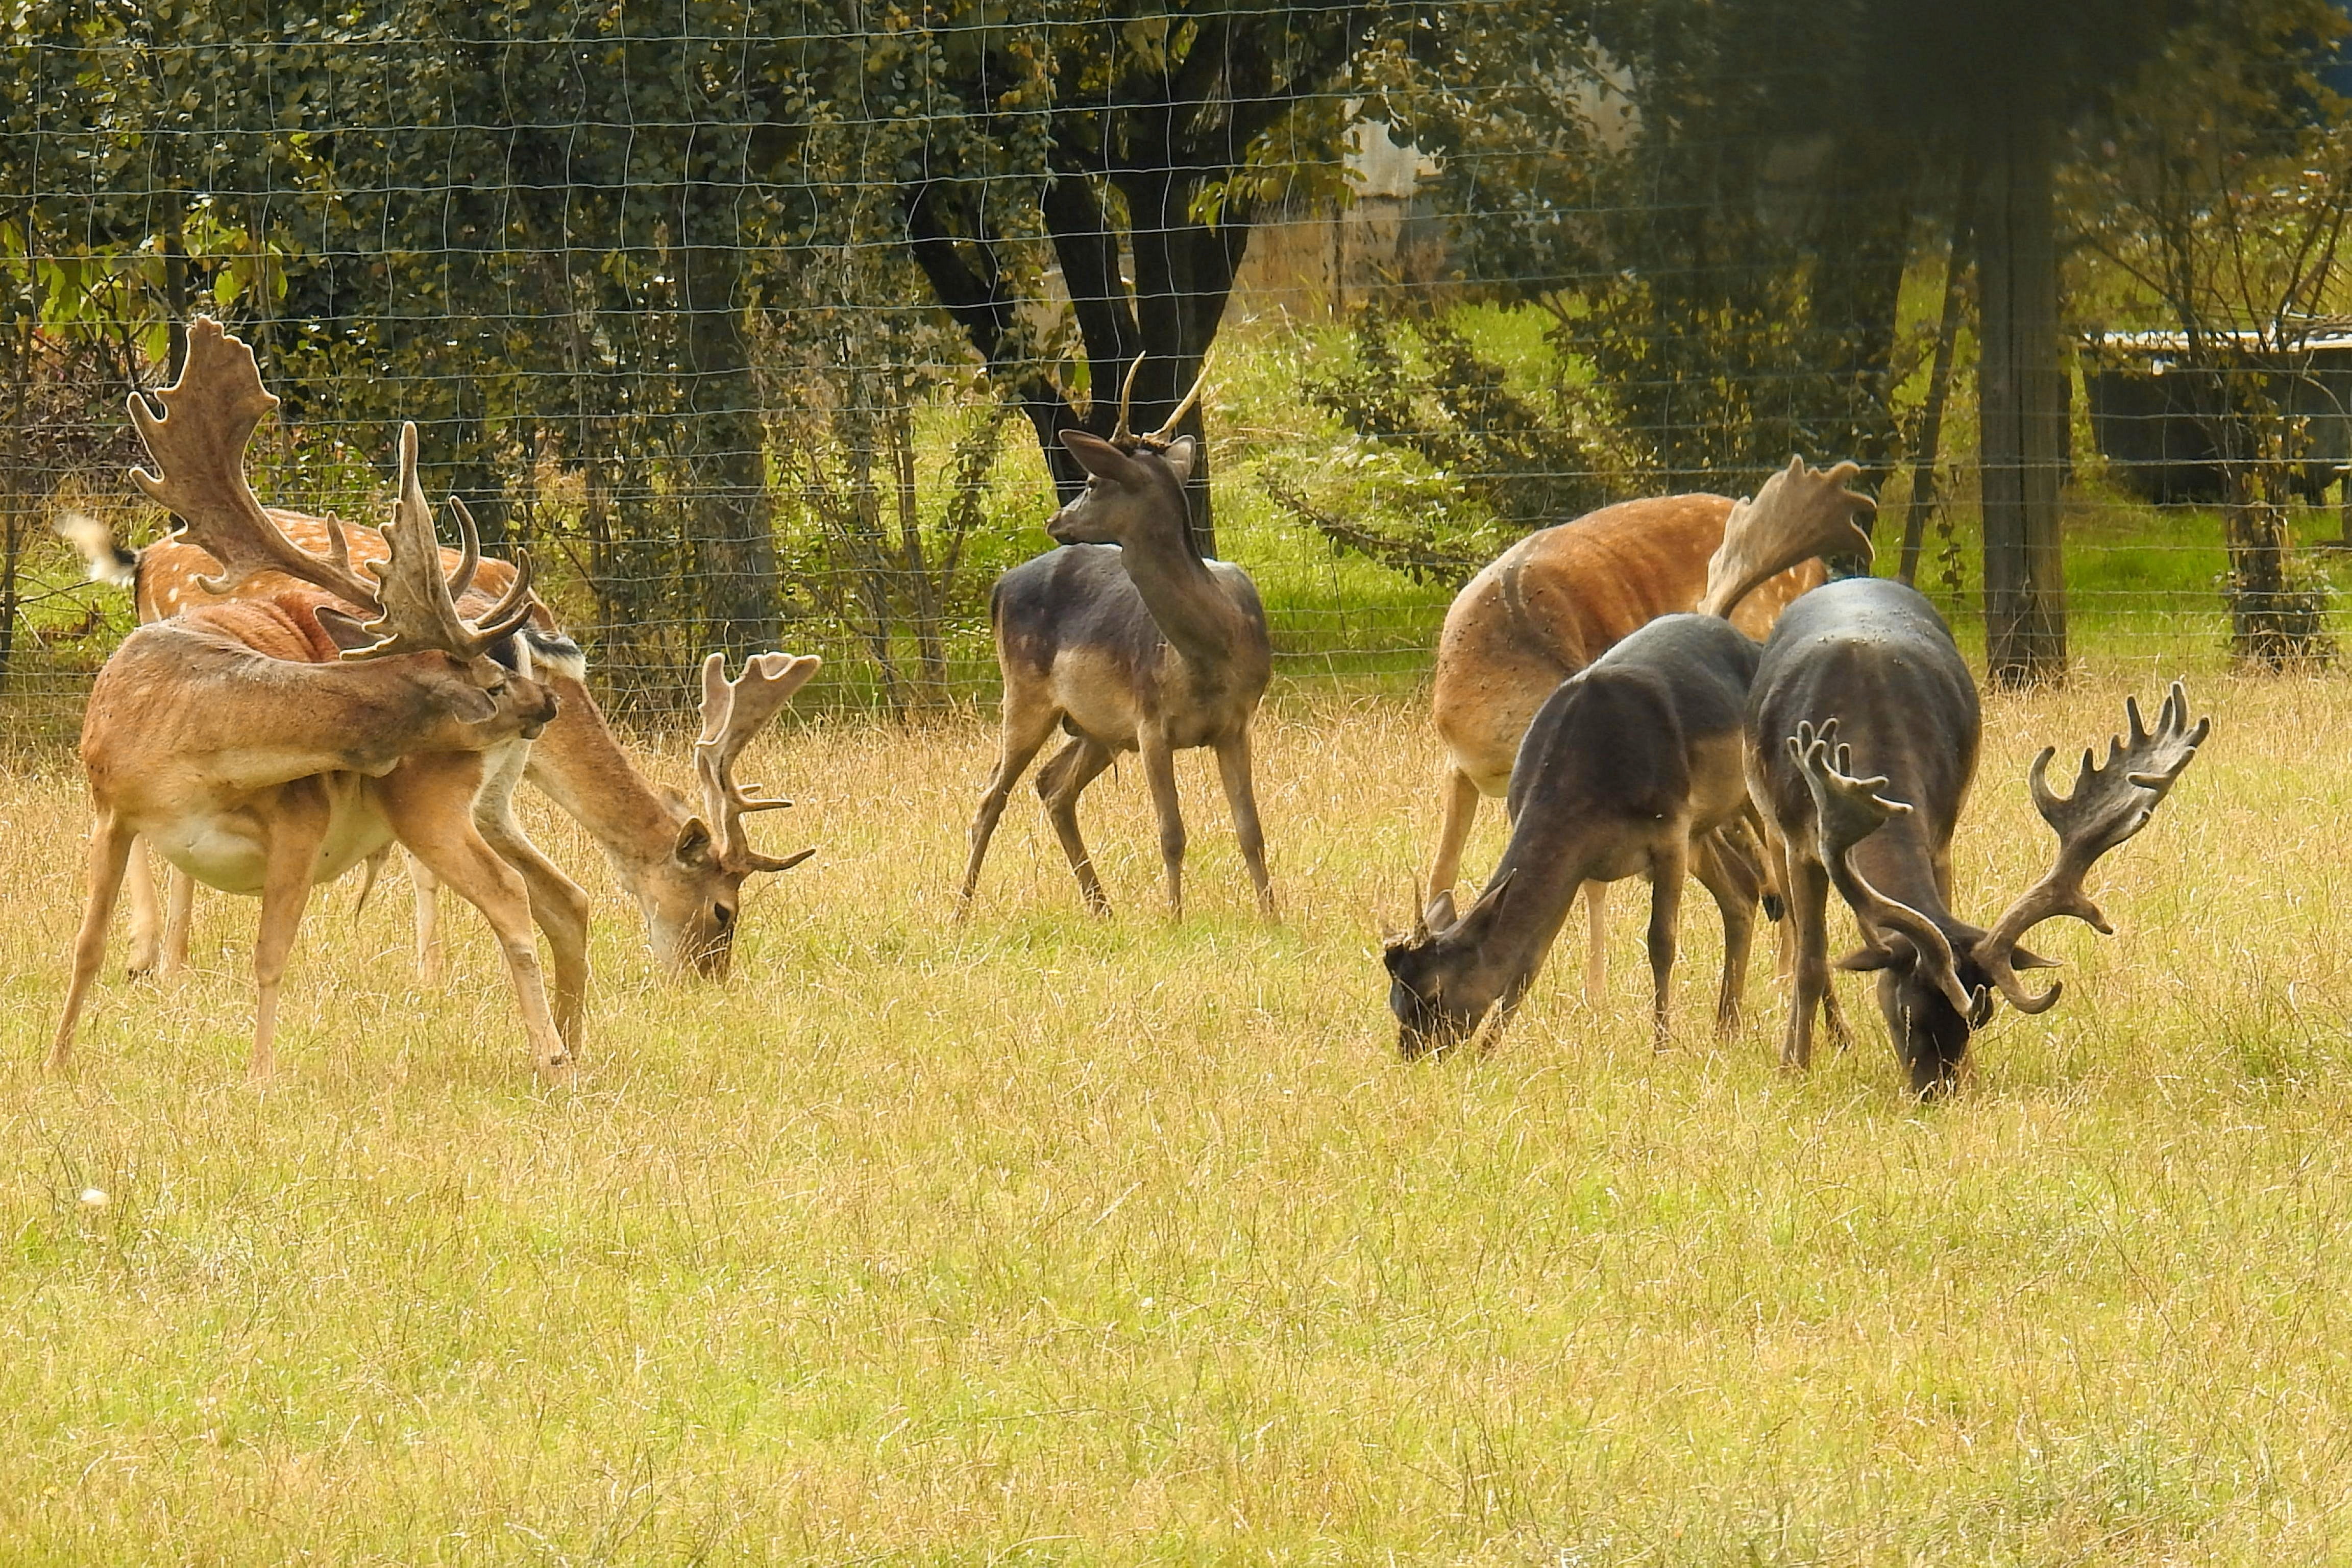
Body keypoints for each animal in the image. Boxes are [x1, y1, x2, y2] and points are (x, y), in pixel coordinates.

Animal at [54, 318, 575, 1079]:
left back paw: (555, 1053)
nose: (547, 705)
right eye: (490, 681)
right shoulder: (110, 809)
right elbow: (87, 948)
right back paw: (569, 1041)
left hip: (433, 803)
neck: (191, 753)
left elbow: (270, 958)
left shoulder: (300, 817)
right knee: (551, 895)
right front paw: (58, 1060)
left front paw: (259, 1077)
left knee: (520, 895)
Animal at [63, 436, 817, 989]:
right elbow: (425, 859)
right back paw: (157, 960)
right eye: (723, 911)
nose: (705, 982)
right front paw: (431, 975)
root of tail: (146, 556)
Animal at [957, 361, 1274, 921]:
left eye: (1090, 480)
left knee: (1052, 786)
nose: (1055, 519)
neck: (1210, 651)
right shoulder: (1150, 722)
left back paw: (1101, 907)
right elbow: (1172, 833)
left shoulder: (1236, 723)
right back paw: (960, 911)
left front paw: (1273, 917)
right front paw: (1174, 919)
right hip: (1024, 693)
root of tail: (998, 587)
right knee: (991, 796)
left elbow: (1251, 831)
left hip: (1095, 727)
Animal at [1382, 459, 1876, 1059]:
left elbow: (1655, 937)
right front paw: (1494, 1048)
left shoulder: (1665, 831)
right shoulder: (1461, 769)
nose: (1414, 1053)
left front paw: (1647, 1035)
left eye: (1432, 993)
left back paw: (1816, 1007)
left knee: (1795, 893)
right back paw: (1733, 1016)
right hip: (1706, 831)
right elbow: (1483, 908)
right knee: (1740, 895)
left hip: (1751, 797)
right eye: (1397, 1000)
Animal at [1749, 575, 2208, 1094]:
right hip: (1772, 828)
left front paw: (1972, 1075)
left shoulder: (1941, 831)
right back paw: (1833, 1037)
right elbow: (1810, 962)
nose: (1938, 1092)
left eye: (1976, 1022)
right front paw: (1792, 1069)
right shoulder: (1801, 839)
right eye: (1905, 1012)